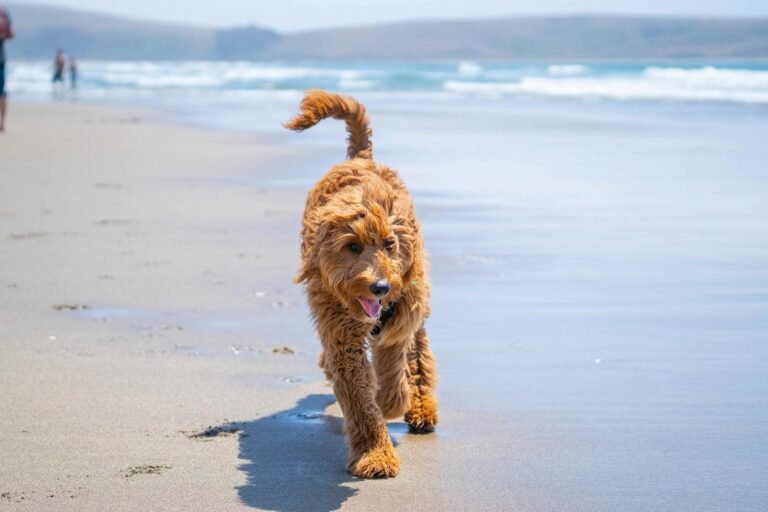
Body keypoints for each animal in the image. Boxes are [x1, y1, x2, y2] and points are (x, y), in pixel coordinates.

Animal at [284, 90, 438, 478]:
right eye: (352, 247)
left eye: (390, 244)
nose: (380, 288)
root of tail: (361, 157)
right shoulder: (341, 334)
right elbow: (359, 398)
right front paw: (375, 453)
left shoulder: (403, 309)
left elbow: (395, 357)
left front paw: (392, 400)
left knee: (418, 352)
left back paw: (420, 406)